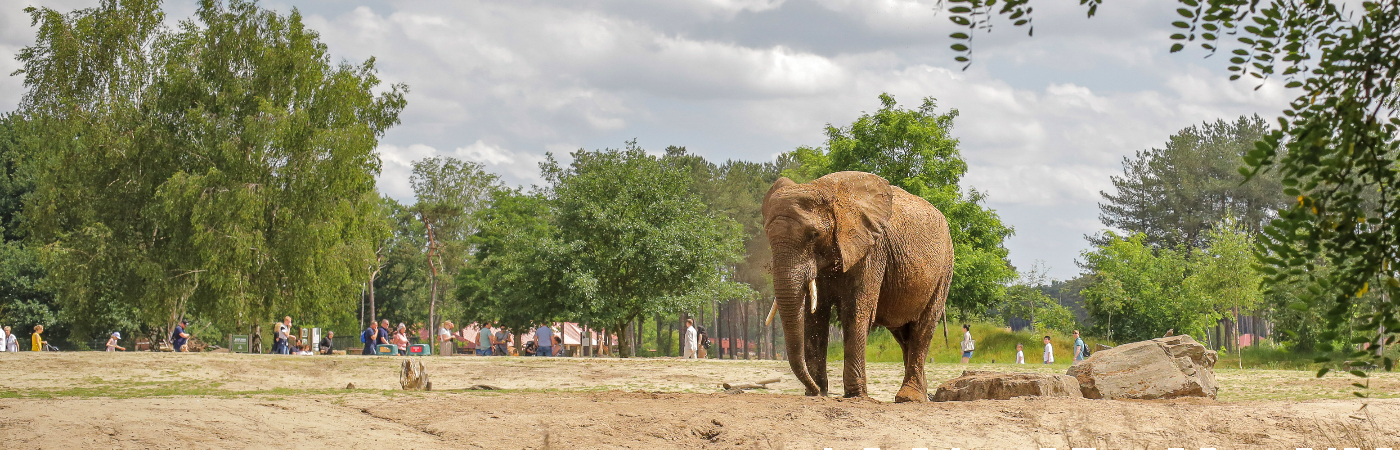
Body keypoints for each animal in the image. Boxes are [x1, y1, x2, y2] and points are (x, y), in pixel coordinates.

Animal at [761, 169, 957, 400]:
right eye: (768, 236)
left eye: (813, 235)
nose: (813, 389)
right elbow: (815, 316)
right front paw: (817, 394)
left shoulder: (872, 250)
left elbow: (855, 311)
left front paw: (855, 395)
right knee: (904, 334)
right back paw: (922, 396)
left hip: (944, 267)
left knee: (924, 326)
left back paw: (908, 398)